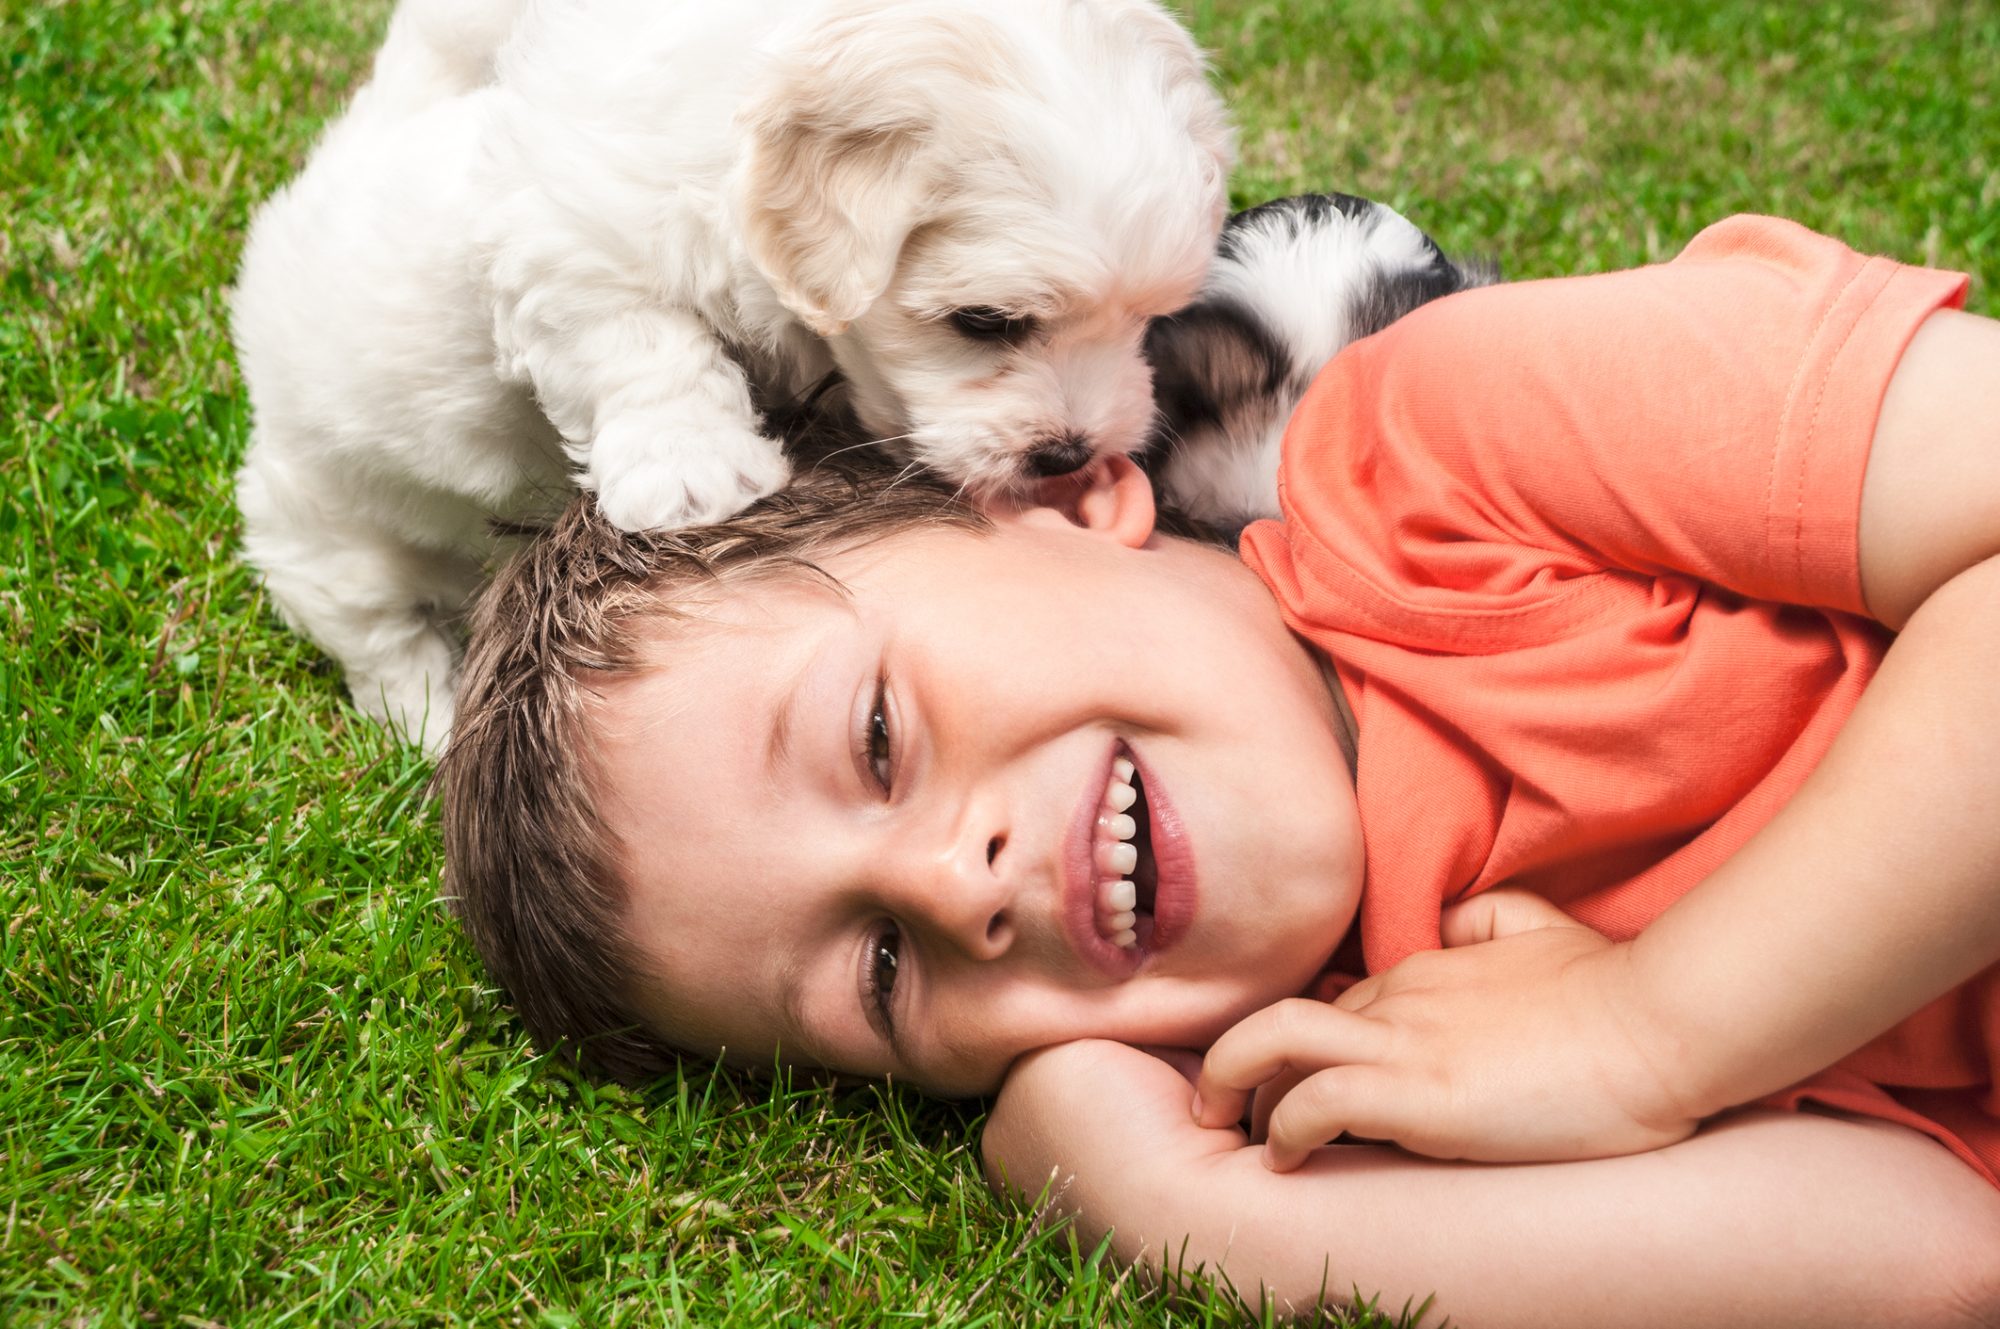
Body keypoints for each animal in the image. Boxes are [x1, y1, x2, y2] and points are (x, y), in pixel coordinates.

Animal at [234, 0, 1232, 752]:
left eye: (1148, 318)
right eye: (986, 323)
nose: (1070, 452)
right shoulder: (569, 236)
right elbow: (640, 337)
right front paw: (693, 469)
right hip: (329, 531)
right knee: (378, 629)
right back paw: (432, 722)